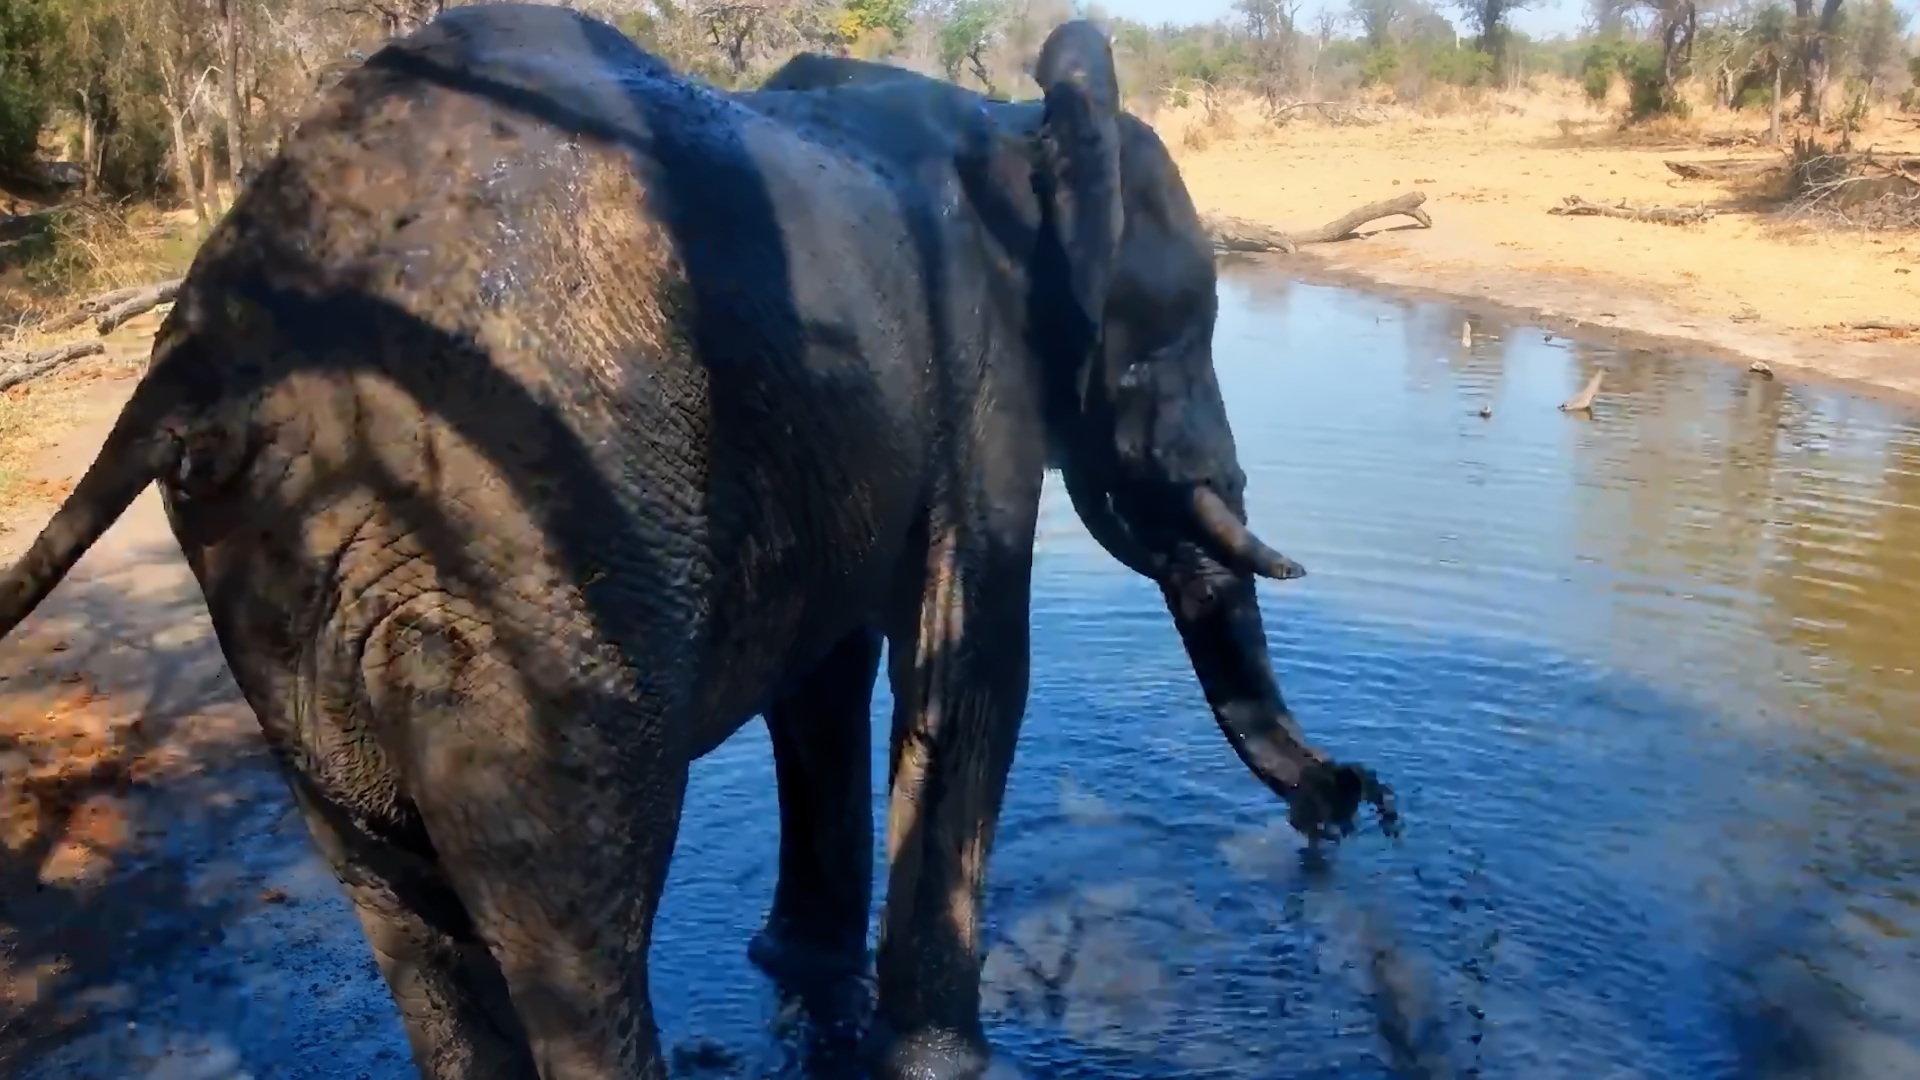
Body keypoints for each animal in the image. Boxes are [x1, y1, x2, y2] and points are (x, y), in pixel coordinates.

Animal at [0, 6, 1380, 1079]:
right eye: (1169, 338)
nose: (1353, 807)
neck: (1013, 128)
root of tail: (204, 351)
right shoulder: (974, 377)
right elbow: (972, 667)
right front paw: (944, 1059)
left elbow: (823, 683)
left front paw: (801, 970)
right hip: (521, 538)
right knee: (576, 899)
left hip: (294, 566)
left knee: (397, 898)